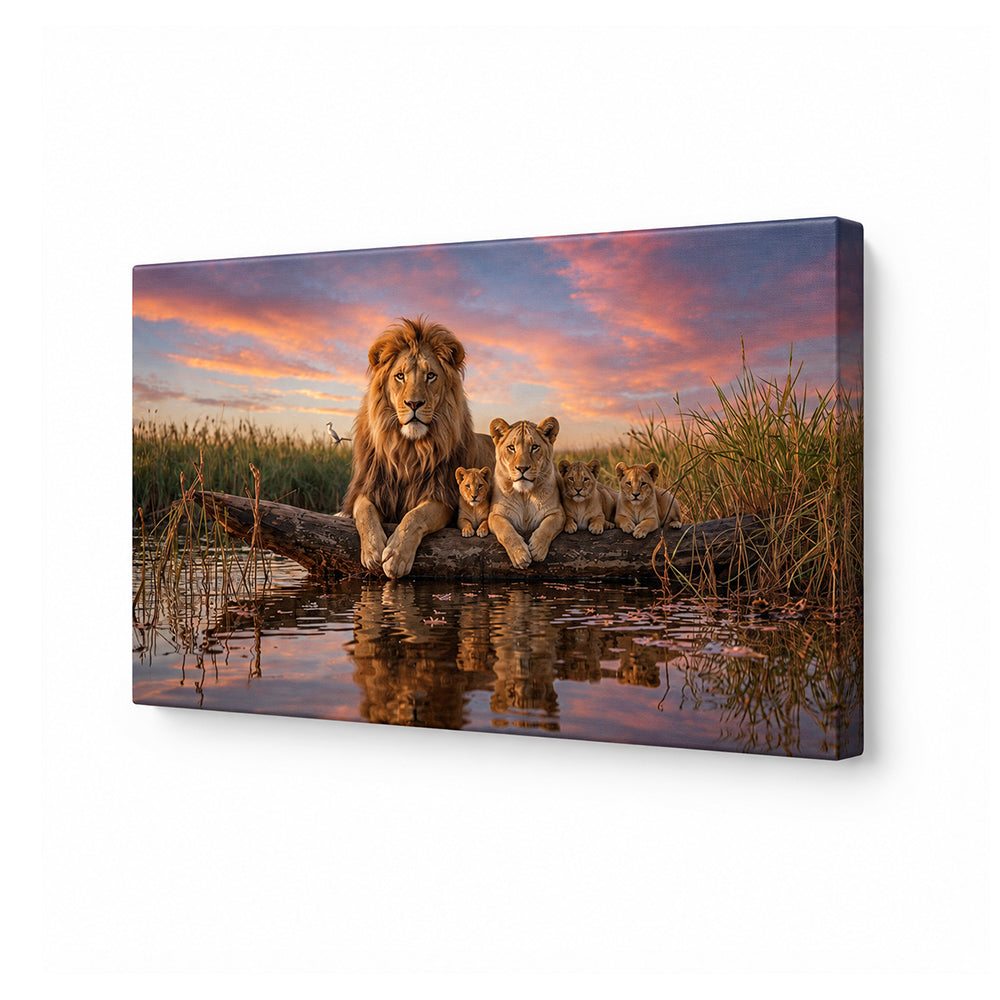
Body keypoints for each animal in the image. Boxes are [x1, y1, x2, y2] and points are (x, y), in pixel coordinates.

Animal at [341, 317, 494, 579]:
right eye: (400, 376)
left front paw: (396, 556)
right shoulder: (370, 488)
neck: (408, 450)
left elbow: (415, 516)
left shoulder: (443, 496)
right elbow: (364, 512)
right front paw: (373, 551)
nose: (414, 403)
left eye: (430, 376)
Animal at [487, 416, 565, 569]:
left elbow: (548, 526)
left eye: (534, 447)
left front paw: (538, 549)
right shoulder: (495, 515)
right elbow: (506, 531)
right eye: (511, 447)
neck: (524, 494)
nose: (522, 468)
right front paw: (520, 555)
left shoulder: (558, 513)